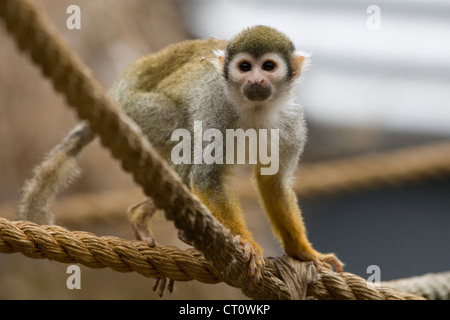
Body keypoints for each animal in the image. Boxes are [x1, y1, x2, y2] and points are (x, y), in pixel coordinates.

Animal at [15, 25, 342, 282]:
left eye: (269, 67)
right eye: (245, 67)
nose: (256, 81)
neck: (256, 109)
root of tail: (115, 94)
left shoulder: (292, 122)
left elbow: (274, 183)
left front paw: (302, 251)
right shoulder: (215, 107)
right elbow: (207, 178)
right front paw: (246, 242)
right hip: (138, 112)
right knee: (182, 130)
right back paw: (147, 216)